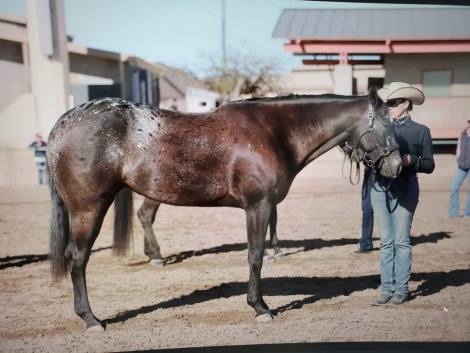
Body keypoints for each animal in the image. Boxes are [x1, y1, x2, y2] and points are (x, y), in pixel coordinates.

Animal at [46, 87, 400, 330]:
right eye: (386, 124)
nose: (397, 165)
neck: (276, 131)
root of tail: (64, 123)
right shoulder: (258, 205)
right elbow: (255, 256)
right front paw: (260, 308)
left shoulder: (265, 205)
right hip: (88, 208)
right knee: (77, 257)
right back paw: (91, 319)